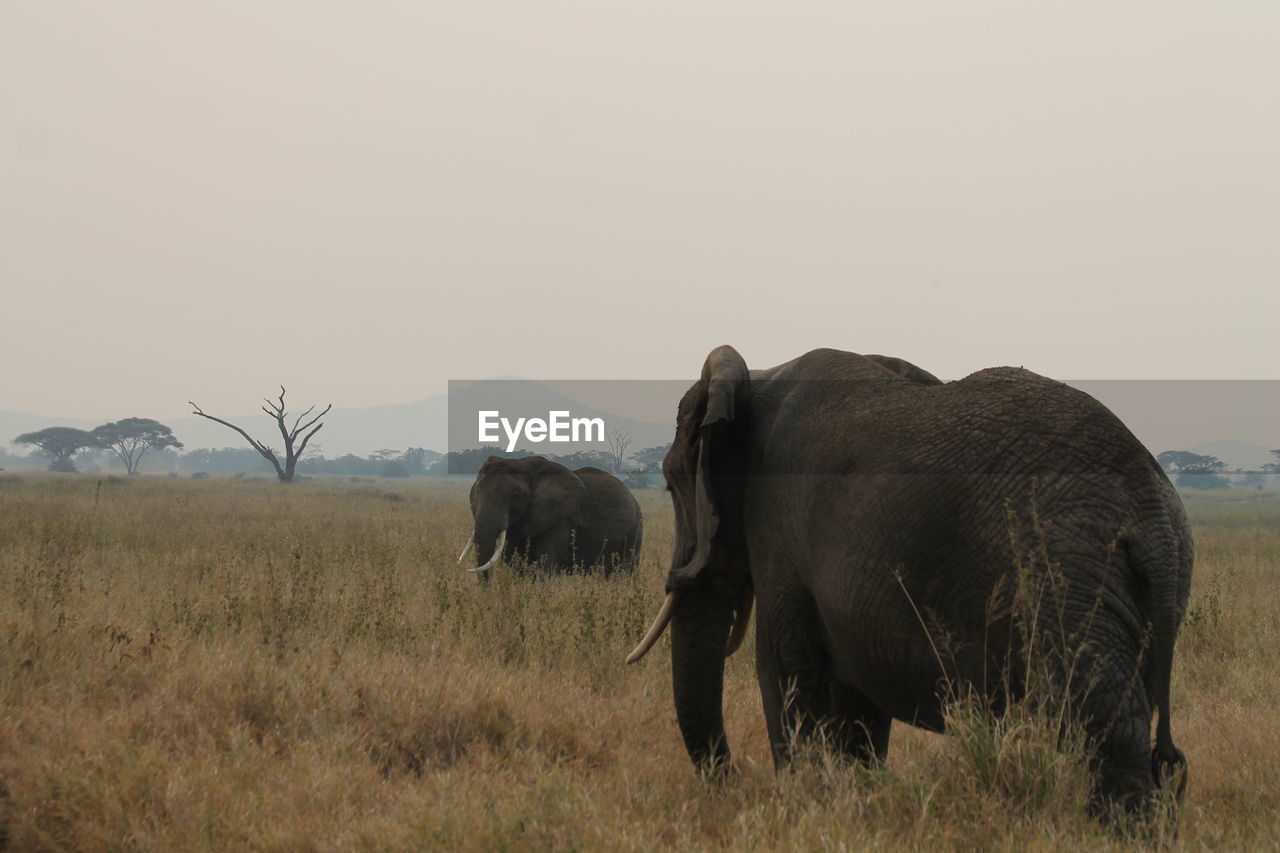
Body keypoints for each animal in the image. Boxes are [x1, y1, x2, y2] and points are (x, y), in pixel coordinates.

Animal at [458, 455, 640, 573]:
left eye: (515, 495)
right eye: (478, 492)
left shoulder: (559, 518)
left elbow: (546, 563)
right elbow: (513, 561)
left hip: (636, 527)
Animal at [627, 343, 1187, 809]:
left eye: (671, 483)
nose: (734, 781)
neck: (760, 376)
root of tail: (1151, 515)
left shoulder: (778, 525)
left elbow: (784, 666)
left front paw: (802, 806)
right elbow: (857, 696)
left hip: (1065, 577)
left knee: (1107, 724)